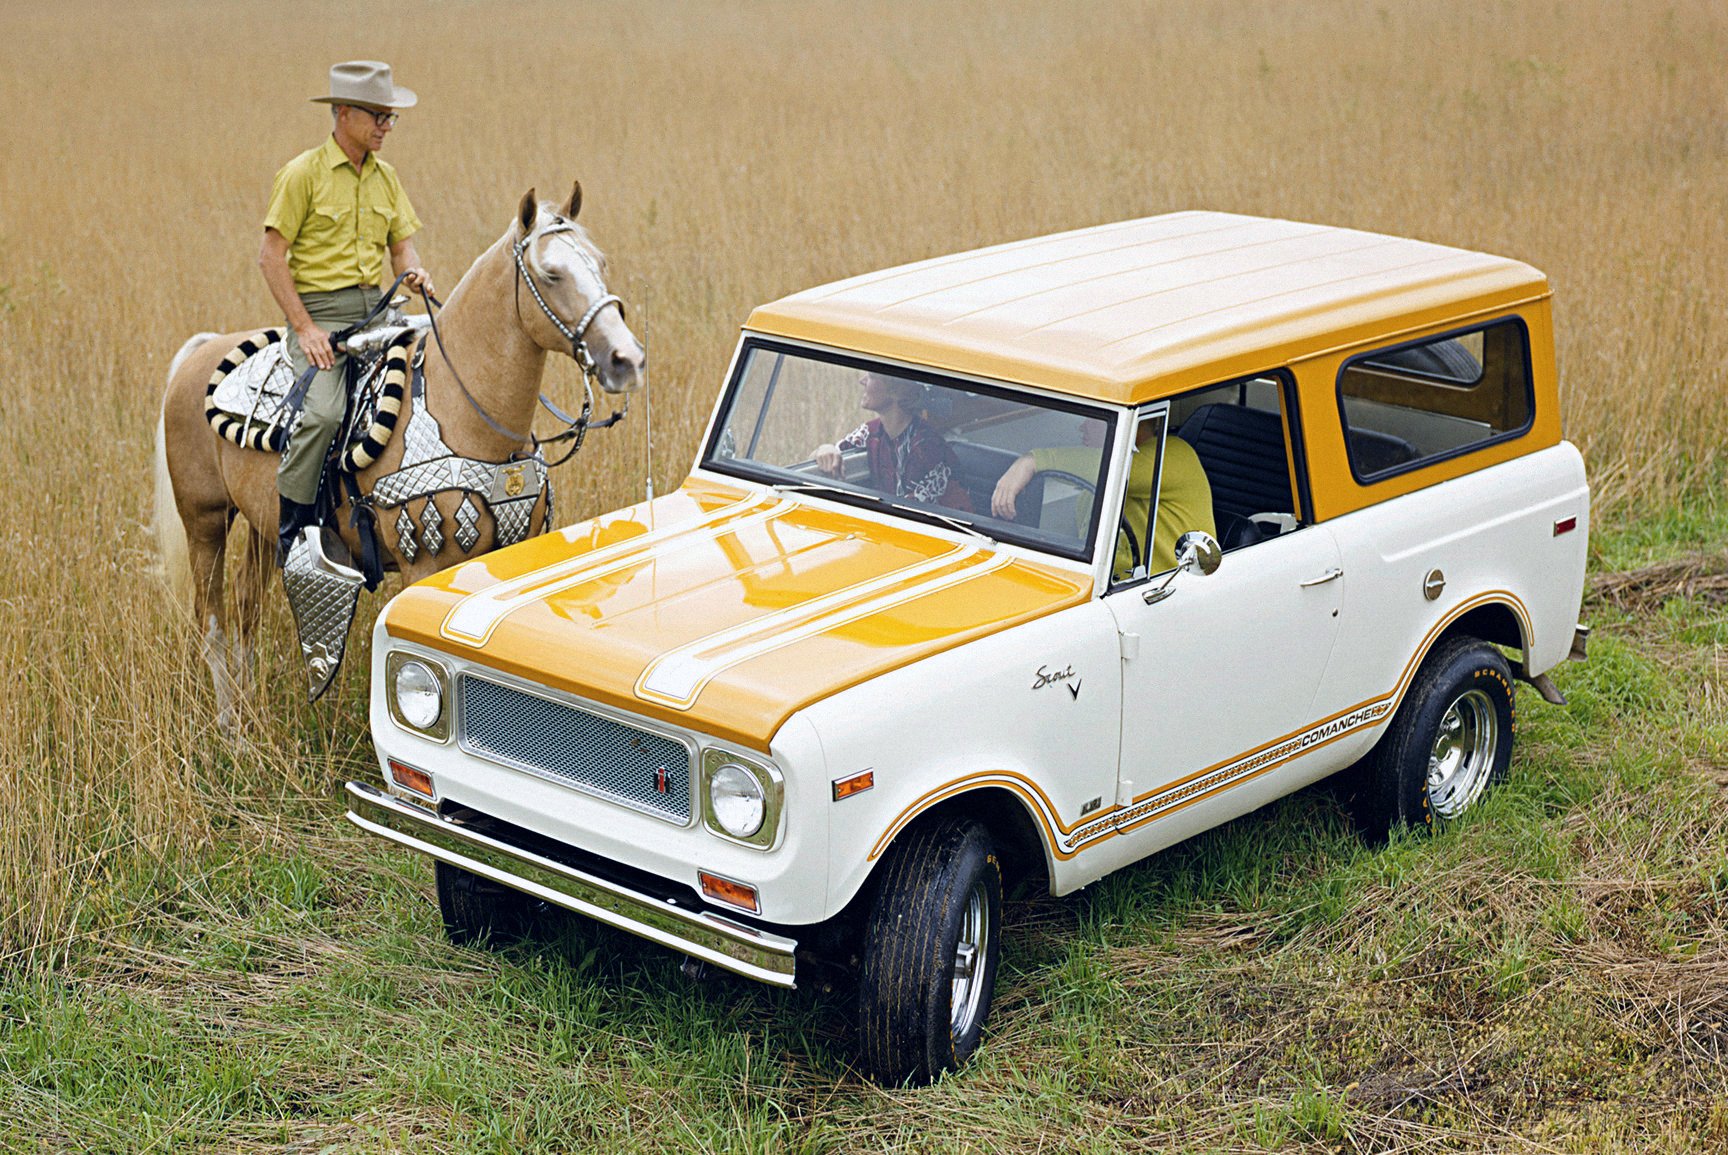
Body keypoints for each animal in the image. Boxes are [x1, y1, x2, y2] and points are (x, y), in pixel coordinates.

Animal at [152, 187, 642, 729]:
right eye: (552, 274)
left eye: (600, 262)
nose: (626, 358)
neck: (462, 408)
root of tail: (201, 353)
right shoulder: (423, 568)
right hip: (205, 523)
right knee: (212, 618)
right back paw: (231, 725)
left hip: (262, 529)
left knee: (244, 610)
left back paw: (249, 706)